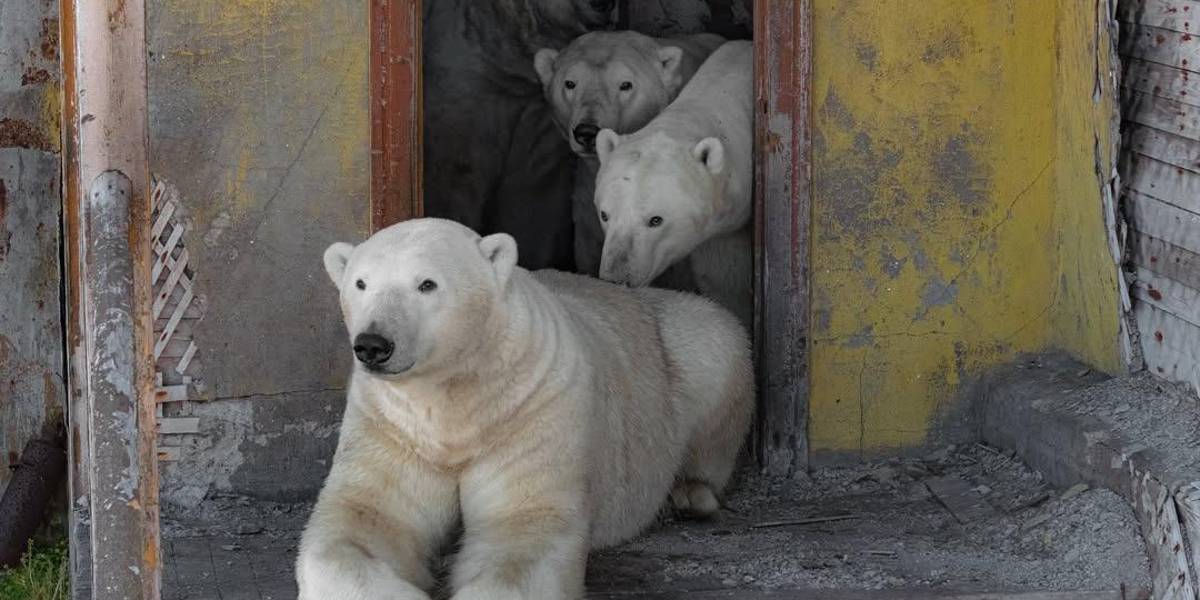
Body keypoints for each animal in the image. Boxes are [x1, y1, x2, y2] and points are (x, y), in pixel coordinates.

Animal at [297, 218, 754, 600]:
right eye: (360, 283)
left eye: (427, 284)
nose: (373, 344)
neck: (456, 397)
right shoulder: (393, 424)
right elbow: (366, 517)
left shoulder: (530, 409)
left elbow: (523, 526)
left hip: (687, 345)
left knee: (718, 346)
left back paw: (691, 494)